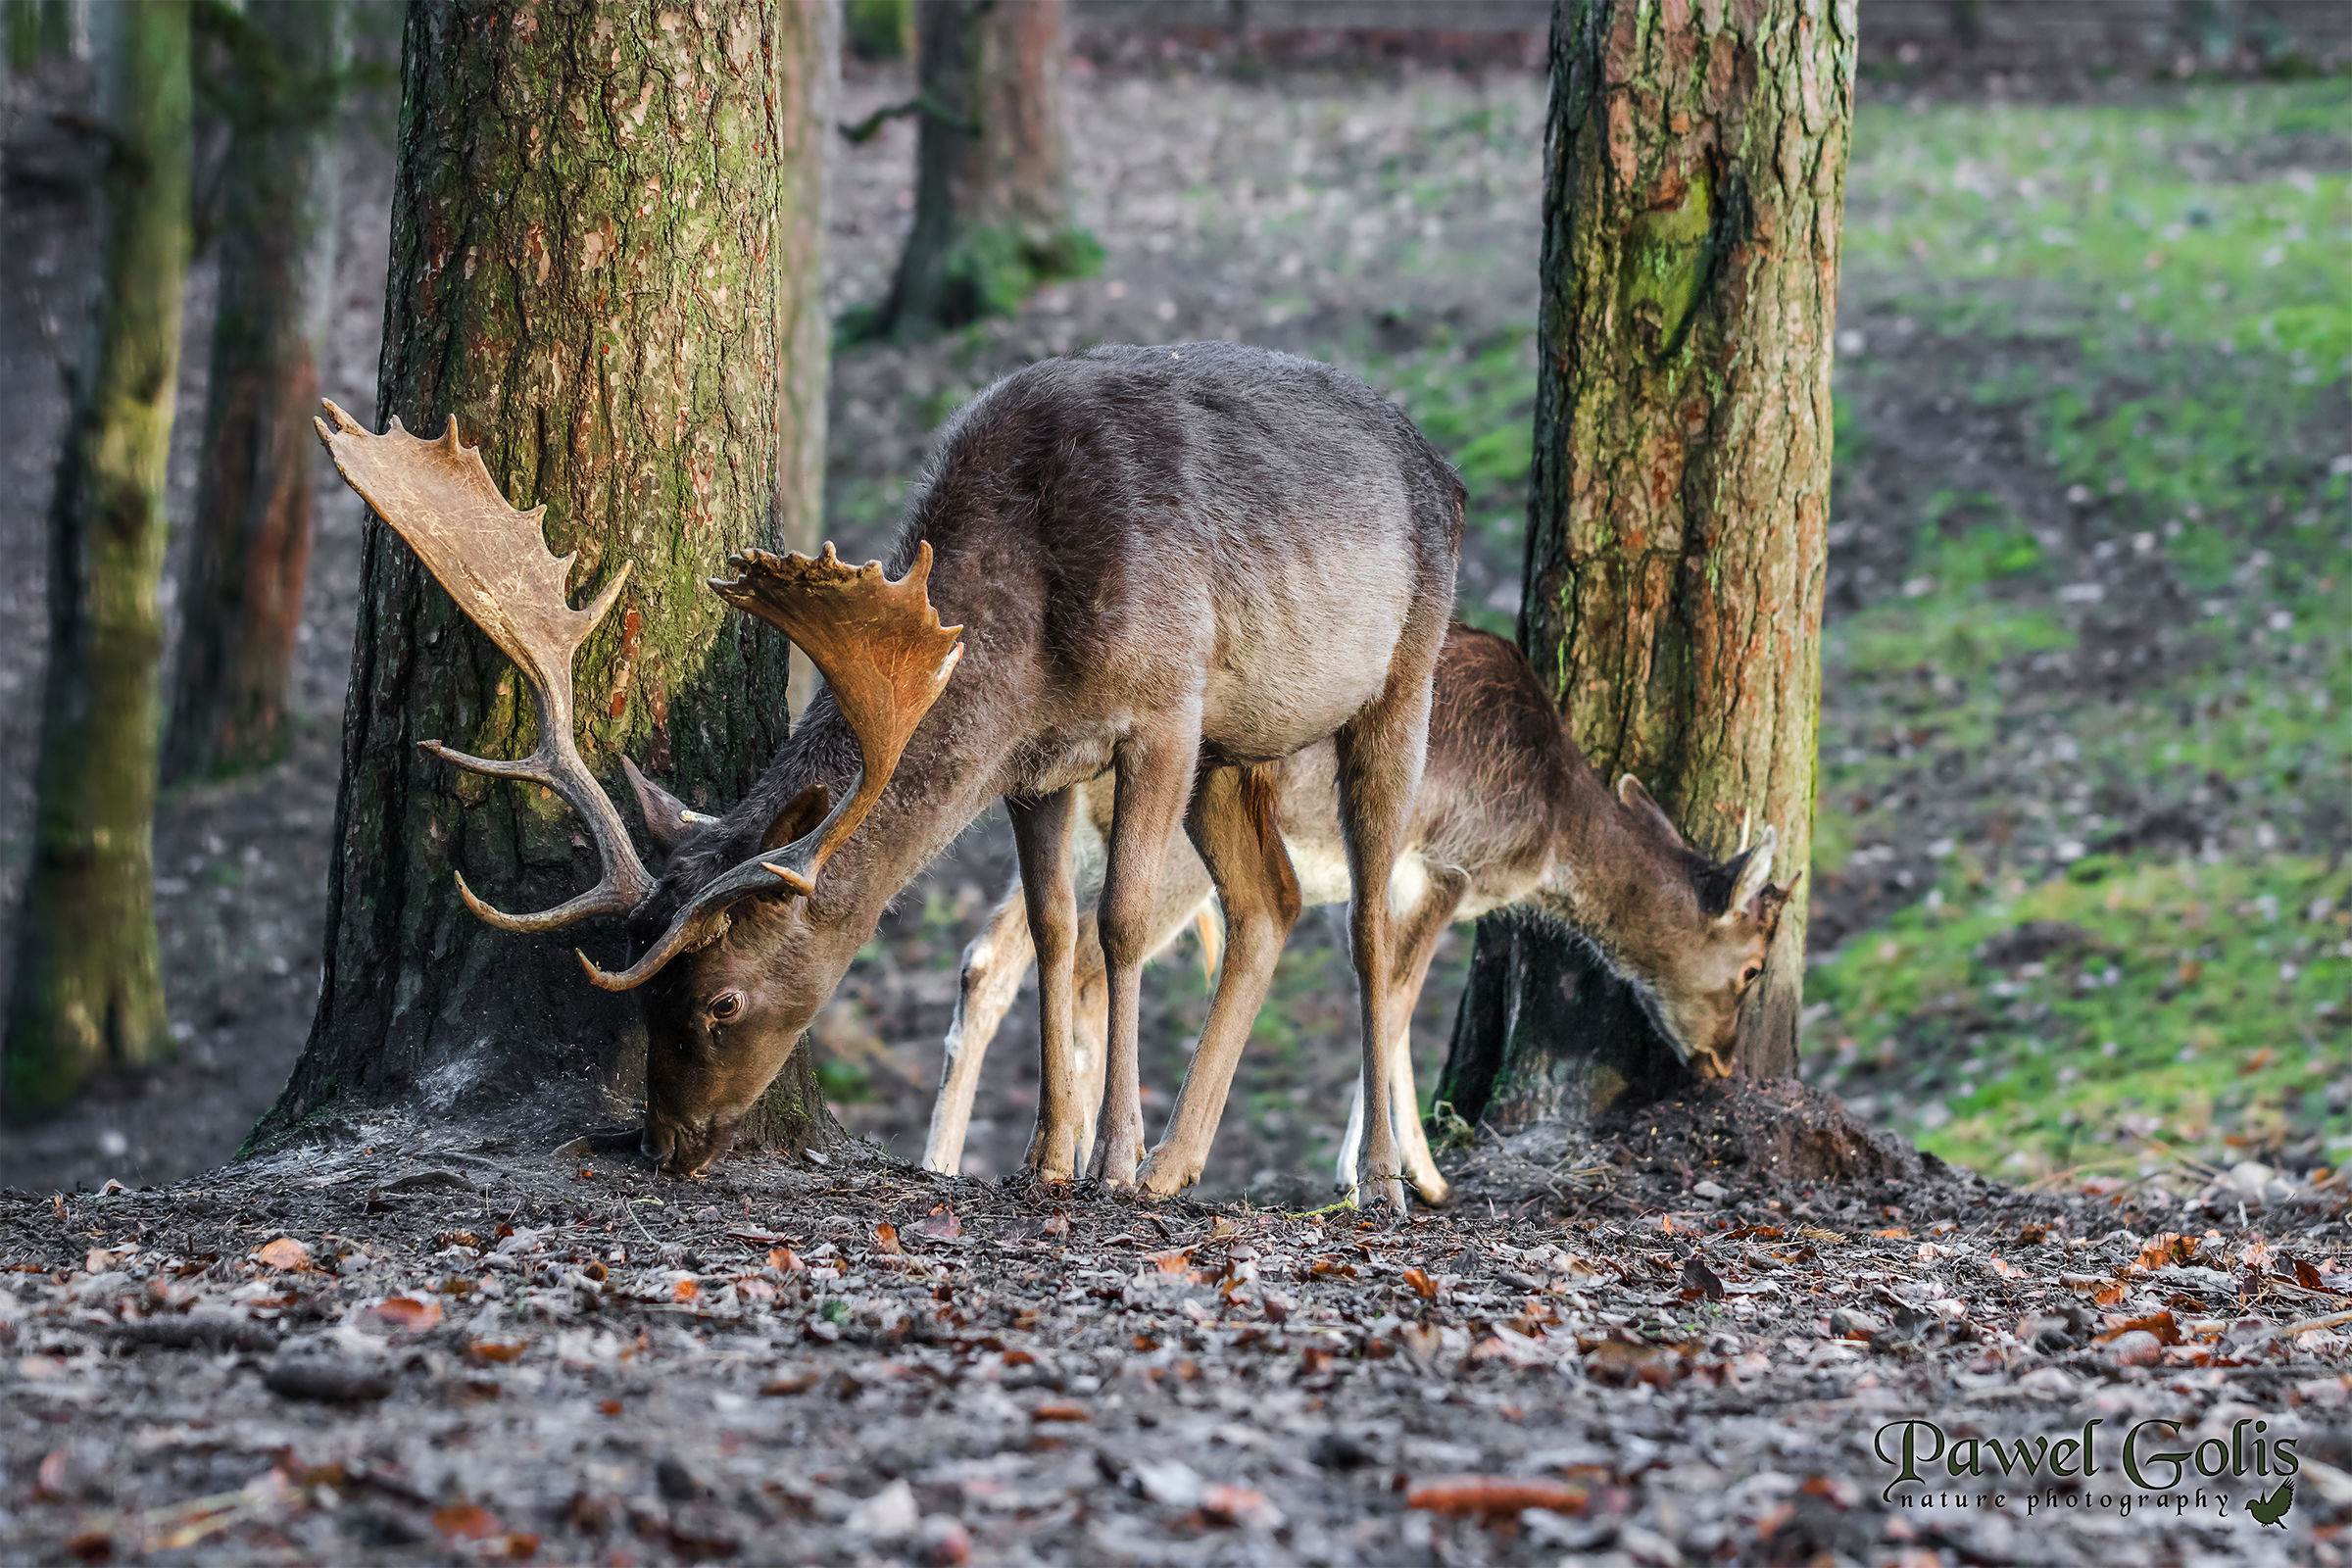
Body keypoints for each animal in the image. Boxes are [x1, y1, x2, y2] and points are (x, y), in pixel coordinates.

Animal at [313, 339, 1462, 1210]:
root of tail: (1443, 470)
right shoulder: (1038, 768)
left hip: (1404, 672)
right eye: (649, 991)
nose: (665, 1145)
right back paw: (1185, 1162)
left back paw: (1373, 1179)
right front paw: (1047, 1158)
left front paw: (1110, 1160)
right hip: (1243, 745)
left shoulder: (1167, 706)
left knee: (1366, 917)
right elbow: (1052, 931)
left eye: (721, 1002)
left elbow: (1120, 923)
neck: (1030, 644)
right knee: (1270, 901)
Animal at [920, 625, 1795, 1204]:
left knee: (997, 955)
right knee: (1093, 966)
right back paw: (1095, 1153)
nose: (1722, 1062)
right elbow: (1398, 1000)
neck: (1546, 834)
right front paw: (1413, 1177)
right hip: (1168, 854)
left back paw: (951, 1157)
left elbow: (1390, 1001)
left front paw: (1385, 1166)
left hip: (1082, 837)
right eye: (1753, 968)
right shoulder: (1442, 863)